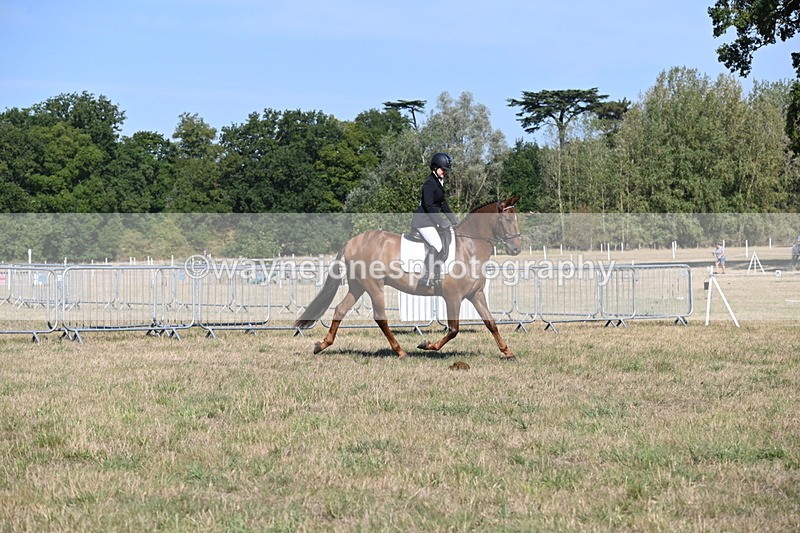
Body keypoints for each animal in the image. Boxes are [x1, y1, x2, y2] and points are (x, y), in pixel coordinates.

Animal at [294, 196, 523, 360]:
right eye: (507, 219)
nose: (516, 249)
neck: (469, 247)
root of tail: (352, 242)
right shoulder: (453, 297)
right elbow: (454, 330)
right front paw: (427, 345)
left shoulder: (476, 294)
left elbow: (491, 323)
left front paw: (508, 352)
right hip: (373, 286)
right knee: (380, 317)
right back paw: (400, 352)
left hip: (357, 286)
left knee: (340, 310)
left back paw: (321, 345)